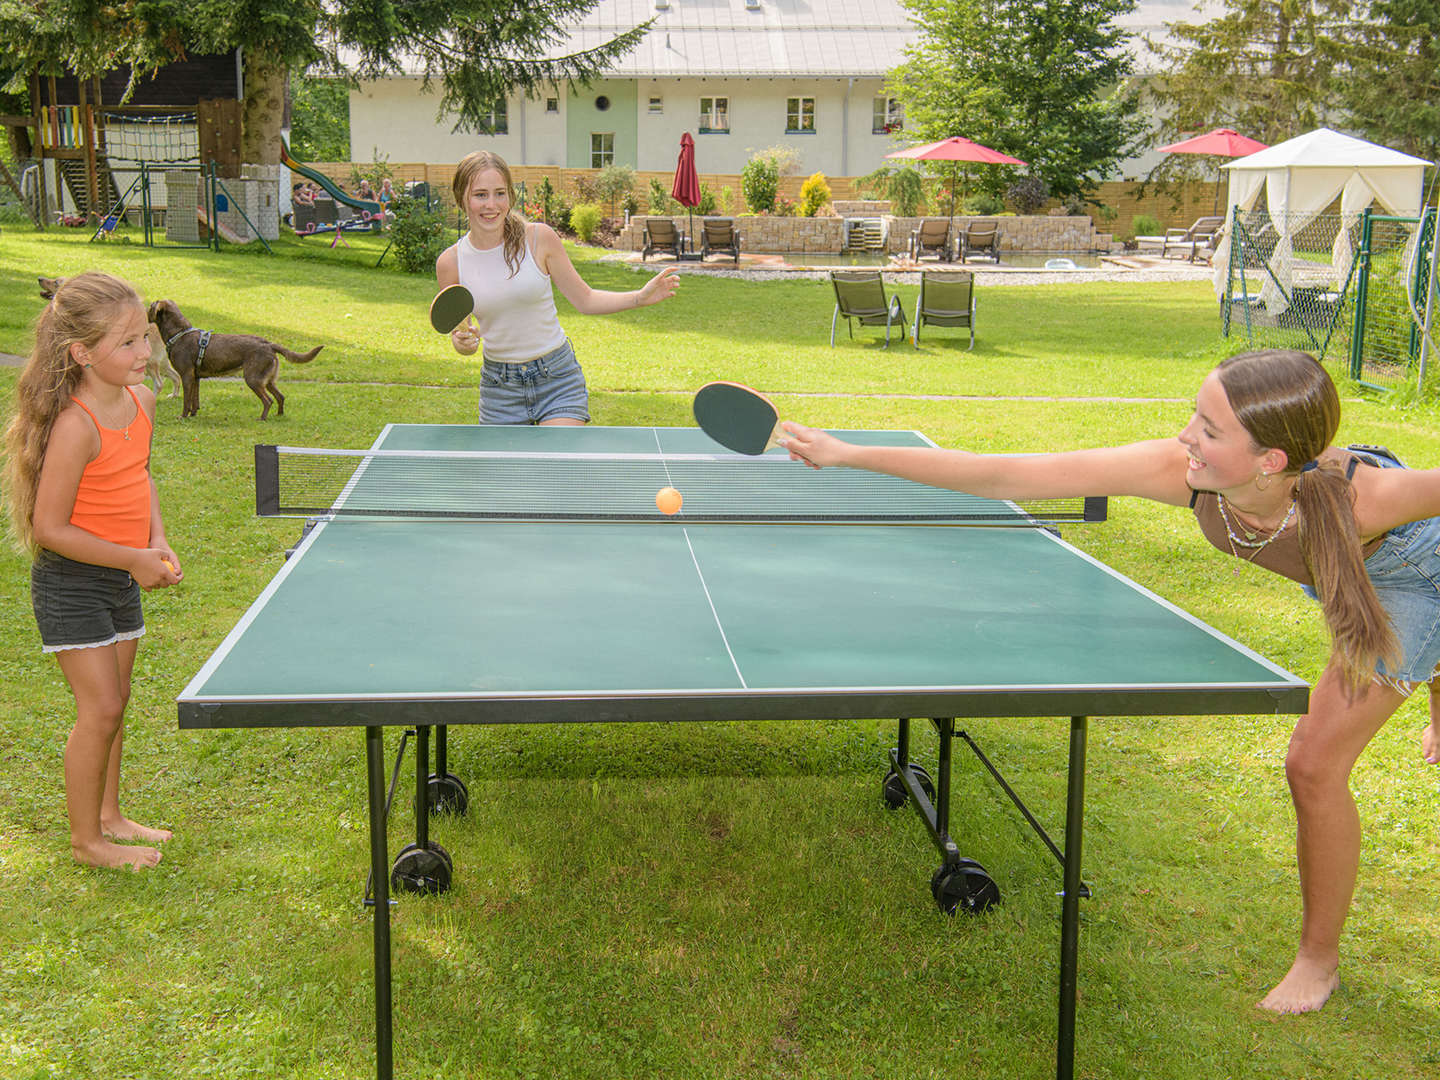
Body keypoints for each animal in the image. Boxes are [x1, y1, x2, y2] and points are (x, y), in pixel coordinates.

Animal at [38, 276, 180, 400]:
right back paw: (174, 395)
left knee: (159, 383)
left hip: (150, 363)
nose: (39, 278)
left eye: (56, 282)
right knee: (176, 376)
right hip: (162, 364)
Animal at [147, 298, 322, 420]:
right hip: (268, 380)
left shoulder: (186, 376)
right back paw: (278, 416)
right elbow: (195, 401)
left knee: (268, 400)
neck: (179, 333)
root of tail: (269, 344)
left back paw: (262, 418)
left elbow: (186, 401)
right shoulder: (195, 377)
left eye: (151, 306)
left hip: (253, 378)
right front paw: (193, 415)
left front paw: (182, 416)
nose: (144, 311)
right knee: (280, 396)